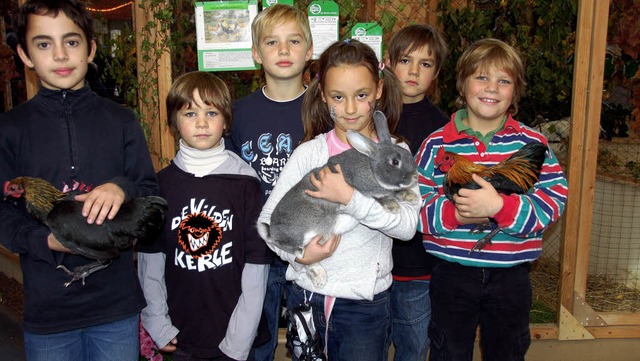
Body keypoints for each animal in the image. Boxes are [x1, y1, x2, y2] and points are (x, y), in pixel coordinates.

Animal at [256, 110, 420, 286]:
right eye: (395, 161)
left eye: (408, 154)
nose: (415, 176)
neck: (371, 167)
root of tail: (272, 231)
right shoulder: (361, 188)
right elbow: (379, 197)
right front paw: (393, 205)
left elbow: (396, 192)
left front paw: (412, 197)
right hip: (299, 232)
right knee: (285, 246)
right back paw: (300, 253)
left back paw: (319, 276)